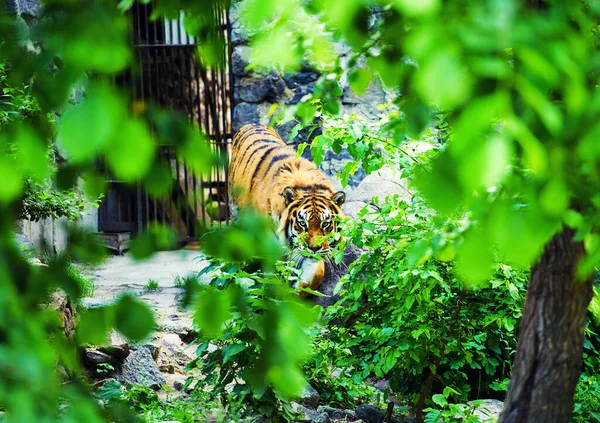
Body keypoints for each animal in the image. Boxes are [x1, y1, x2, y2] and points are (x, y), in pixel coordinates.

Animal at [227, 122, 344, 294]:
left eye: (325, 224)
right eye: (302, 223)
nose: (314, 248)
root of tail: (252, 123)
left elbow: (315, 272)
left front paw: (297, 290)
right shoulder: (271, 247)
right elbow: (274, 277)